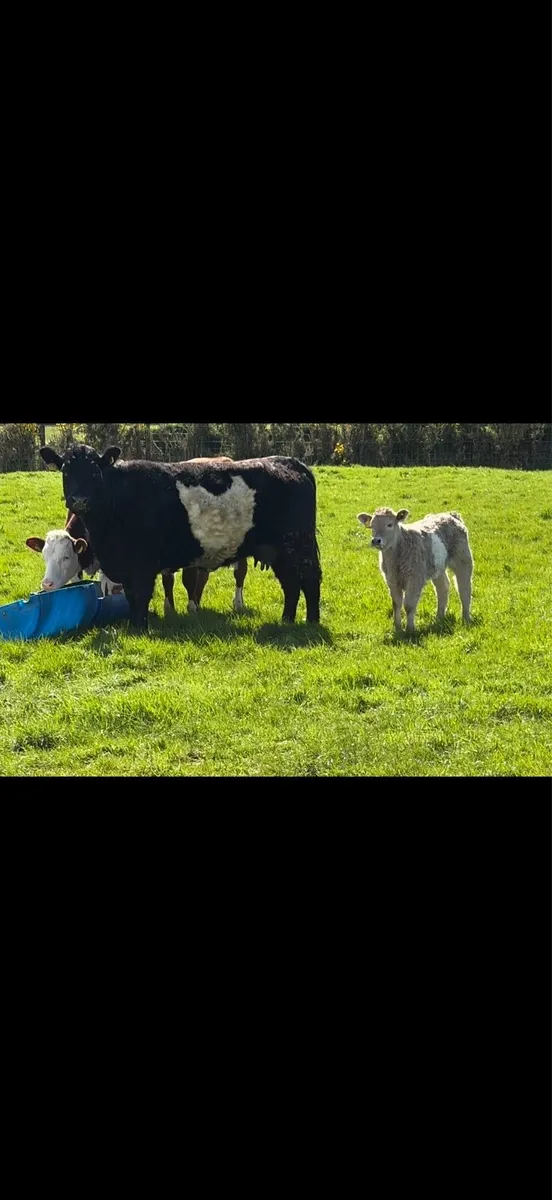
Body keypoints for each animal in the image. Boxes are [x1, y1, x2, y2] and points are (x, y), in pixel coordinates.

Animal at [39, 443, 322, 631]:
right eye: (66, 471)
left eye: (94, 471)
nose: (79, 500)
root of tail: (290, 462)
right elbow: (132, 597)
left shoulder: (141, 567)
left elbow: (140, 596)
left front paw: (139, 629)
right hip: (279, 552)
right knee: (291, 584)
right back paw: (287, 621)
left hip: (298, 546)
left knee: (309, 580)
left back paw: (311, 621)